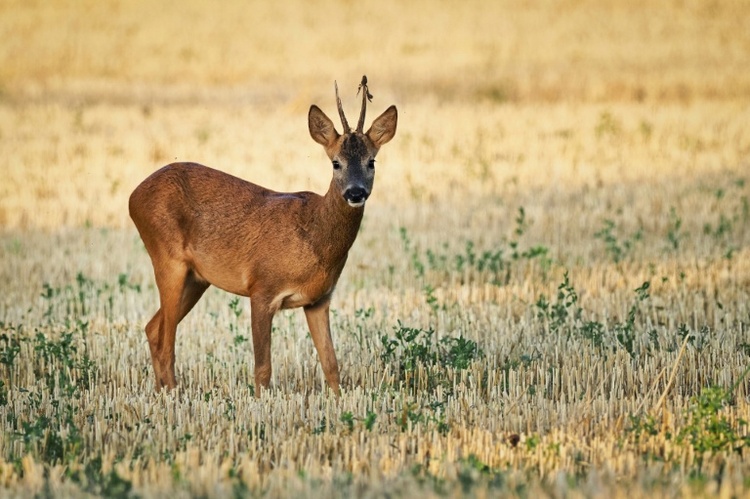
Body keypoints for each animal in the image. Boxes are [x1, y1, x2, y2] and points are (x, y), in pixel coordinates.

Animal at [129, 76, 397, 396]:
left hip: (197, 278)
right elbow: (263, 369)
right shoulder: (262, 288)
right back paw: (172, 396)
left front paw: (338, 399)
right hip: (167, 259)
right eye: (335, 162)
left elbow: (331, 364)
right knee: (167, 340)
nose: (356, 193)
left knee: (153, 328)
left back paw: (161, 393)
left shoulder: (319, 299)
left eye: (372, 162)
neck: (314, 236)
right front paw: (260, 401)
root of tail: (133, 196)